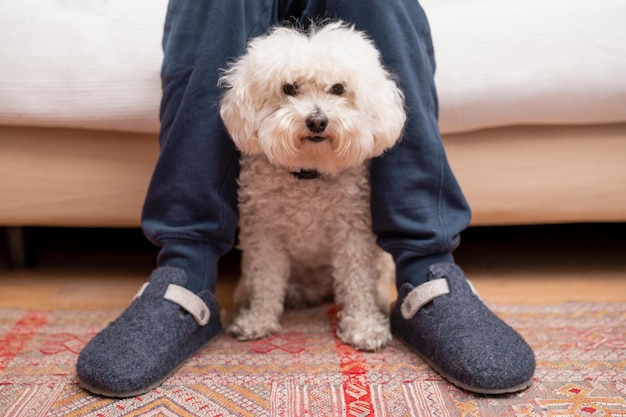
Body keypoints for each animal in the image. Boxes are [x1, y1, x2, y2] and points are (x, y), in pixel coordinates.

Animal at [218, 20, 404, 352]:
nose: (317, 121)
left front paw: (364, 328)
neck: (309, 173)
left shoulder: (352, 233)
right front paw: (258, 321)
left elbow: (357, 283)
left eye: (339, 88)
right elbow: (266, 280)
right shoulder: (264, 233)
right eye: (289, 88)